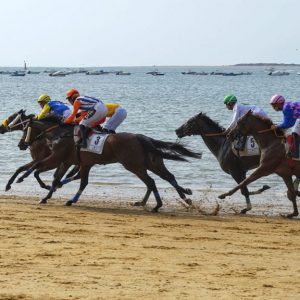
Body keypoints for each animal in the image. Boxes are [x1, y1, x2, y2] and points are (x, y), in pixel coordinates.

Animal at [17, 117, 202, 211]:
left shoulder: (58, 157)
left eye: (25, 129)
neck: (60, 134)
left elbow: (37, 168)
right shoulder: (76, 162)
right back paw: (180, 197)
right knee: (165, 177)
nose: (22, 144)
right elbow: (66, 179)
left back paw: (158, 205)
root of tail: (140, 137)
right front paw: (48, 196)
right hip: (150, 164)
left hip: (134, 165)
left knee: (151, 182)